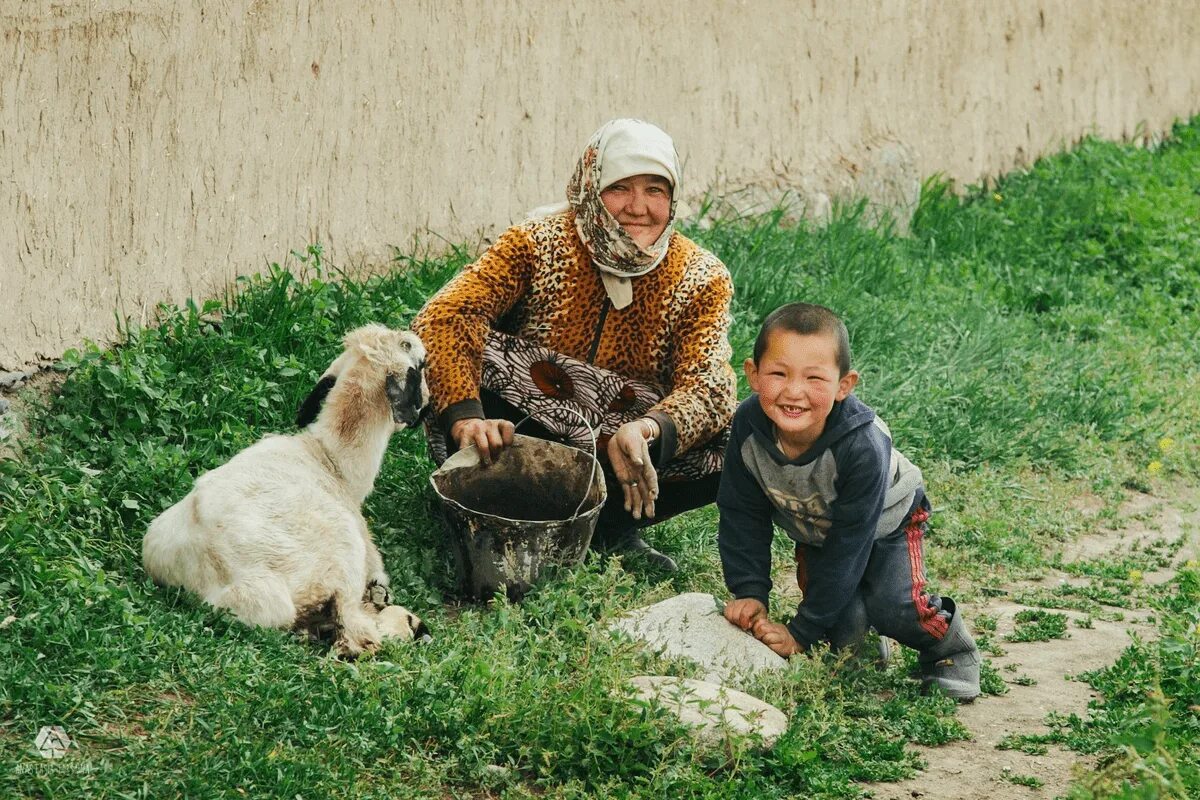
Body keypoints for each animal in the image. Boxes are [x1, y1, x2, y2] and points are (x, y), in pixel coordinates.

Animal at [143, 323, 432, 657]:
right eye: (420, 362)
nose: (428, 404)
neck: (331, 460)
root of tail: (217, 579)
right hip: (339, 560)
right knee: (355, 637)